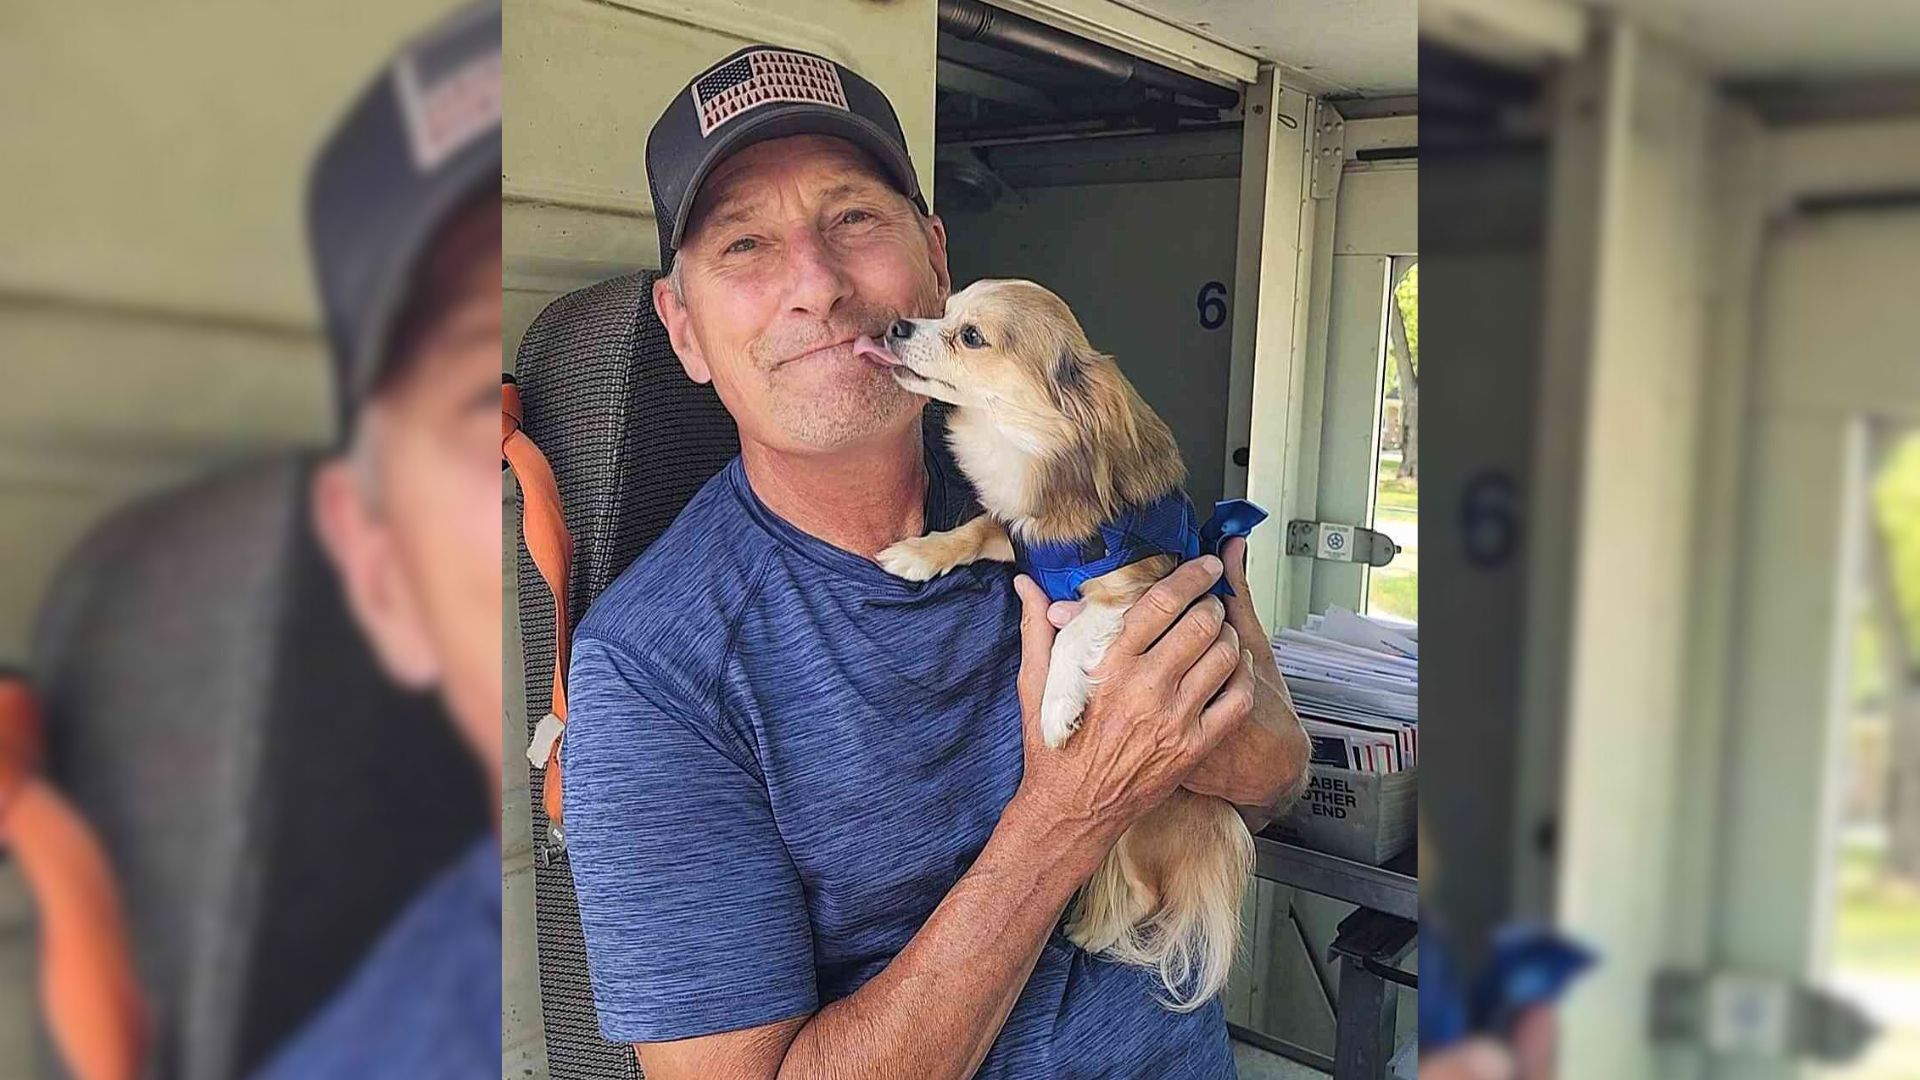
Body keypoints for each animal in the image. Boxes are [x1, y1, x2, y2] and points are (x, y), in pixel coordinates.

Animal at [860, 276, 1251, 1006]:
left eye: (970, 335)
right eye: (941, 310)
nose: (897, 325)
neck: (1019, 444)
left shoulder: (1137, 590)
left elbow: (1077, 635)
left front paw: (1056, 708)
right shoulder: (1015, 534)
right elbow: (972, 530)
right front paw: (917, 555)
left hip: (1140, 827)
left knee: (1144, 895)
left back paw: (1096, 935)